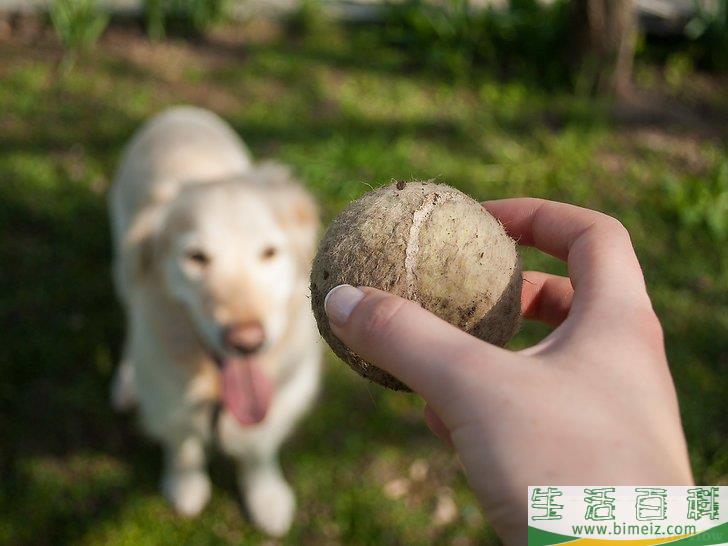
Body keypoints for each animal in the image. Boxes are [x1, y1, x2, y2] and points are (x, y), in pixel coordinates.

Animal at [109, 106, 322, 536]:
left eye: (269, 252)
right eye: (196, 257)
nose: (247, 341)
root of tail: (179, 112)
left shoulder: (283, 394)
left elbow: (259, 449)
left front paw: (266, 496)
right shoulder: (168, 396)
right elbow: (183, 446)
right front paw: (185, 485)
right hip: (124, 266)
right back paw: (126, 380)